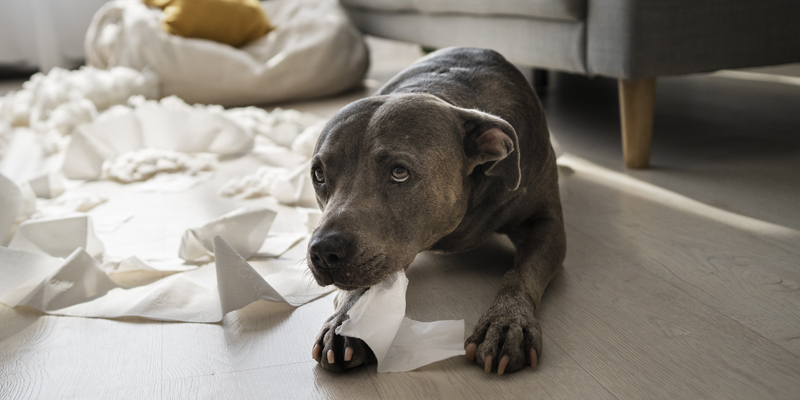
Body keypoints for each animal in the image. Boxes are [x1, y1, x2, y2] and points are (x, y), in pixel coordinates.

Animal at [304, 47, 564, 376]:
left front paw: (507, 322)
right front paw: (346, 323)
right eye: (319, 174)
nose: (324, 251)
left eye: (399, 172)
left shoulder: (546, 224)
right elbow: (361, 287)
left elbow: (521, 273)